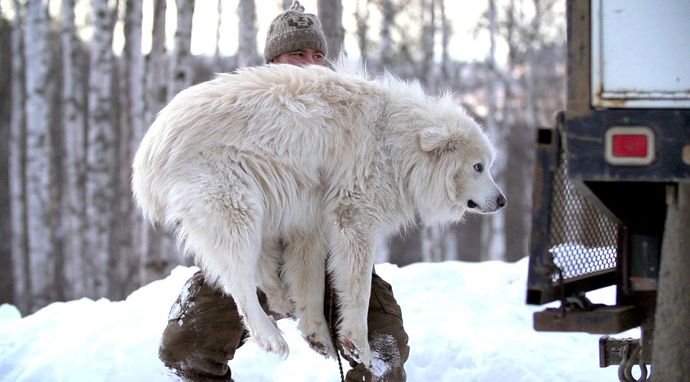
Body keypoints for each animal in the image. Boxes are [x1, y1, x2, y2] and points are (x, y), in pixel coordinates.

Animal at [130, 62, 506, 368]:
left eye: (487, 165)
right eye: (478, 167)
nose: (502, 201)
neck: (394, 142)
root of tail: (148, 151)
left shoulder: (310, 225)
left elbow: (309, 283)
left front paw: (319, 336)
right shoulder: (355, 217)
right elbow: (357, 289)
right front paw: (358, 344)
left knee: (259, 272)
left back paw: (281, 302)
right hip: (236, 206)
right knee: (238, 280)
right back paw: (270, 337)